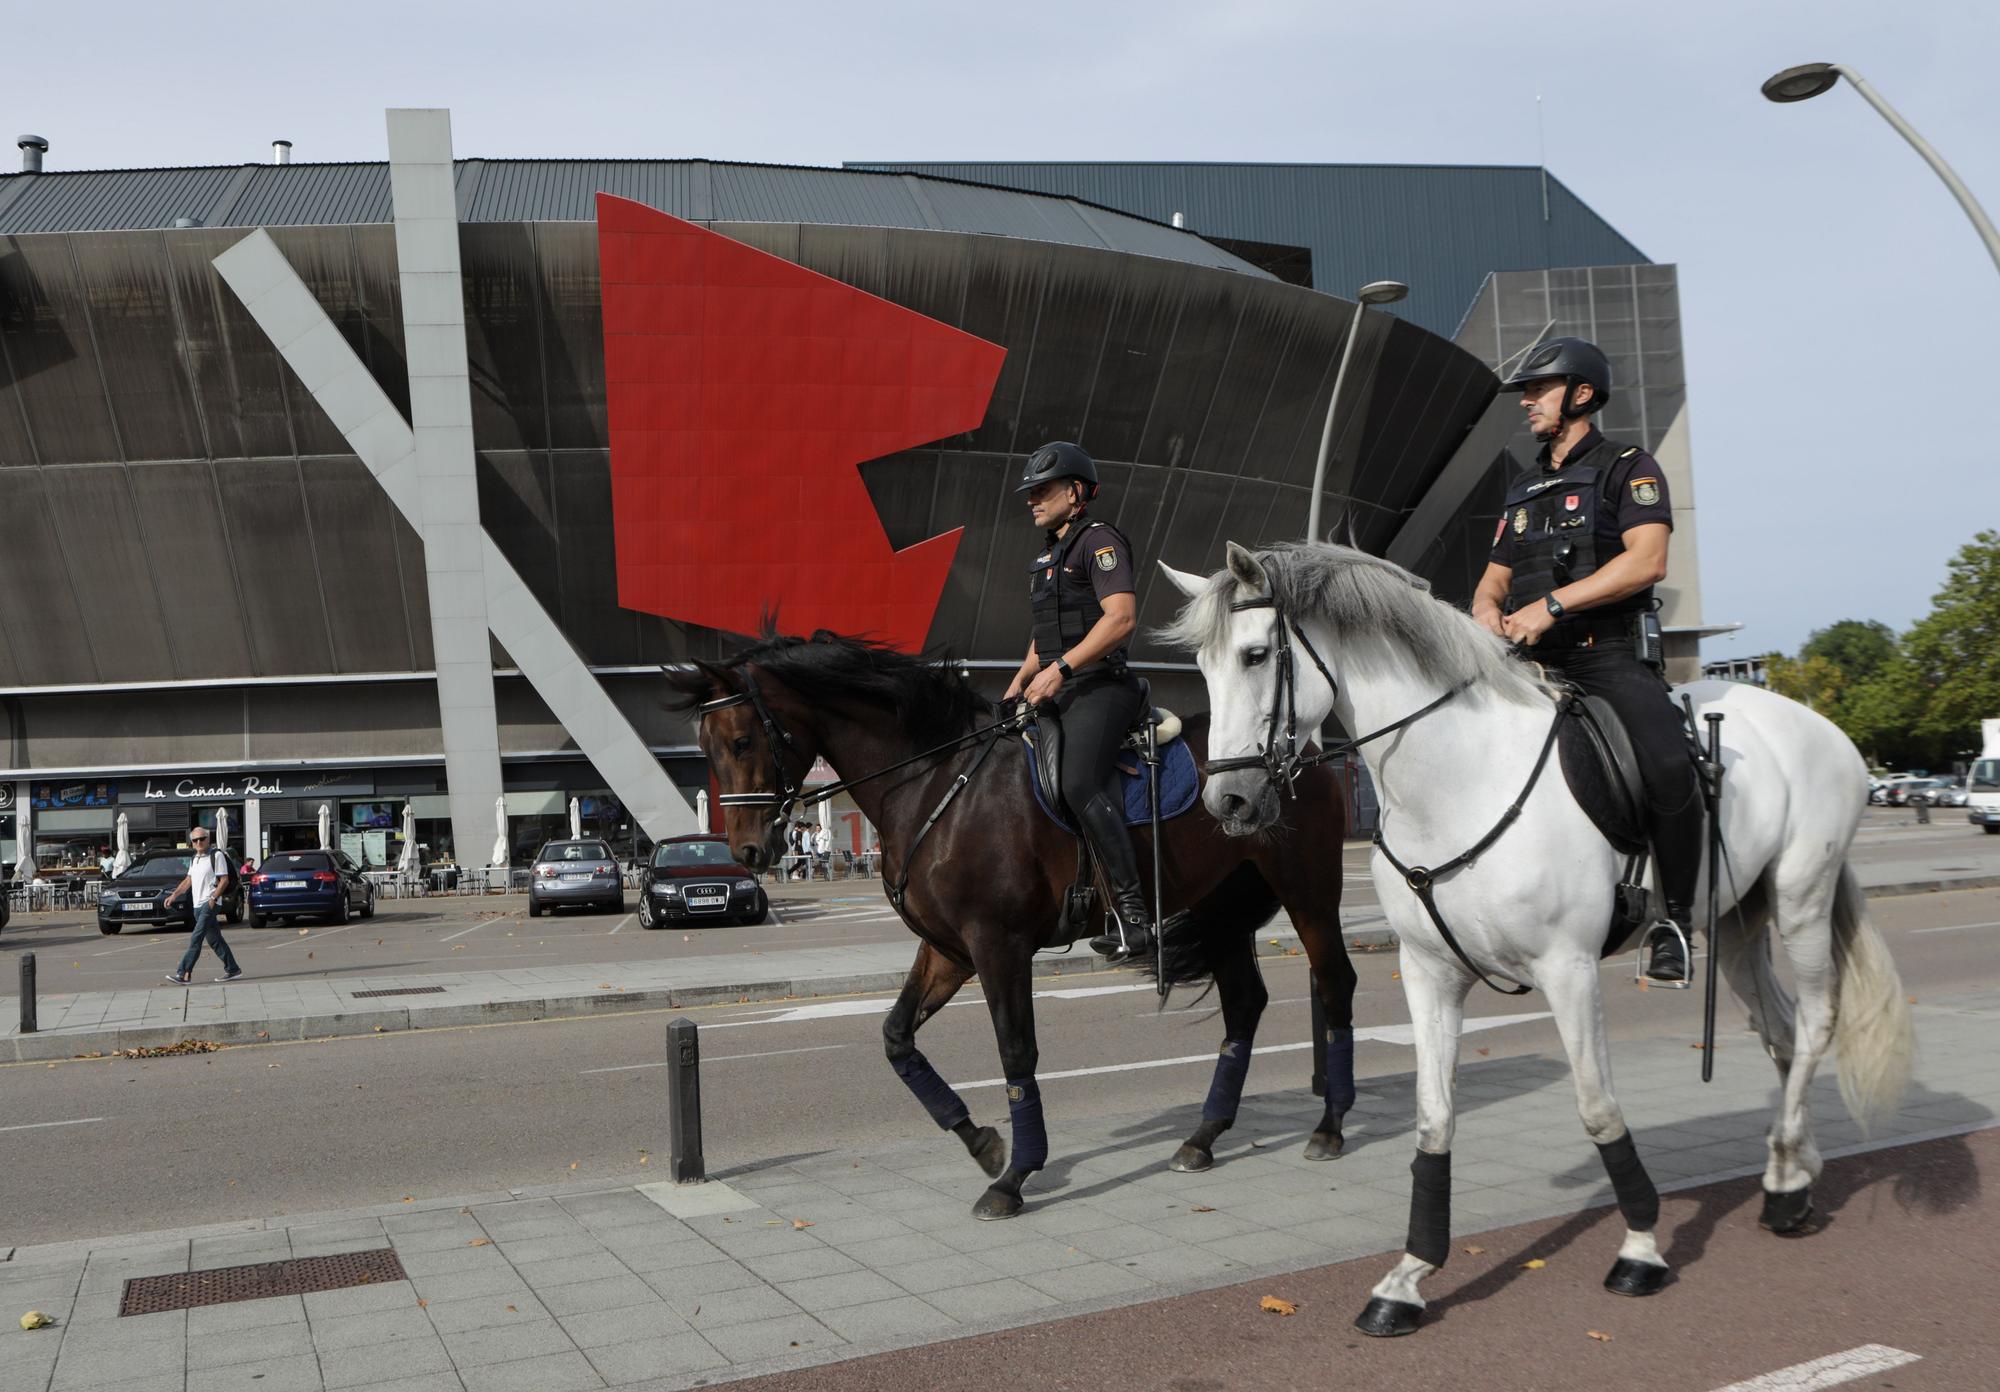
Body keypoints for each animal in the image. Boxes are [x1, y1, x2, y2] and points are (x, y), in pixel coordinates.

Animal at [672, 632, 1360, 1216]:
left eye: (741, 741)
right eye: (703, 751)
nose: (748, 851)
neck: (935, 783)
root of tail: (1300, 748)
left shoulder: (997, 945)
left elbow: (1015, 1050)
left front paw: (1016, 1175)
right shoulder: (949, 949)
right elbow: (898, 1038)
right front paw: (980, 1141)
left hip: (1308, 890)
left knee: (1334, 984)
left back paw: (1329, 1126)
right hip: (1224, 907)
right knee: (1243, 1005)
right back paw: (1204, 1137)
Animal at [1168, 540, 1912, 1336]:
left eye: (1253, 654)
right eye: (1202, 667)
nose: (1228, 802)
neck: (1460, 779)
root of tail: (1814, 723)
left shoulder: (1569, 969)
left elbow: (1596, 1105)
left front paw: (1641, 1247)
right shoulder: (1428, 974)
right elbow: (1434, 1117)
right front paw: (1408, 1277)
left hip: (1802, 900)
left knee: (1816, 1022)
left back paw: (1785, 1177)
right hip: (1740, 922)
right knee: (1780, 1033)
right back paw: (1789, 1178)